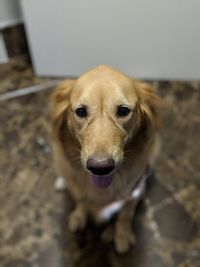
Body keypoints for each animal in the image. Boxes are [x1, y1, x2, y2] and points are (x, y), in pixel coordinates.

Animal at [50, 65, 159, 253]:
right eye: (80, 111)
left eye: (123, 110)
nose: (100, 167)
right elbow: (81, 200)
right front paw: (79, 216)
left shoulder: (134, 191)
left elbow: (125, 214)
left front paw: (121, 235)